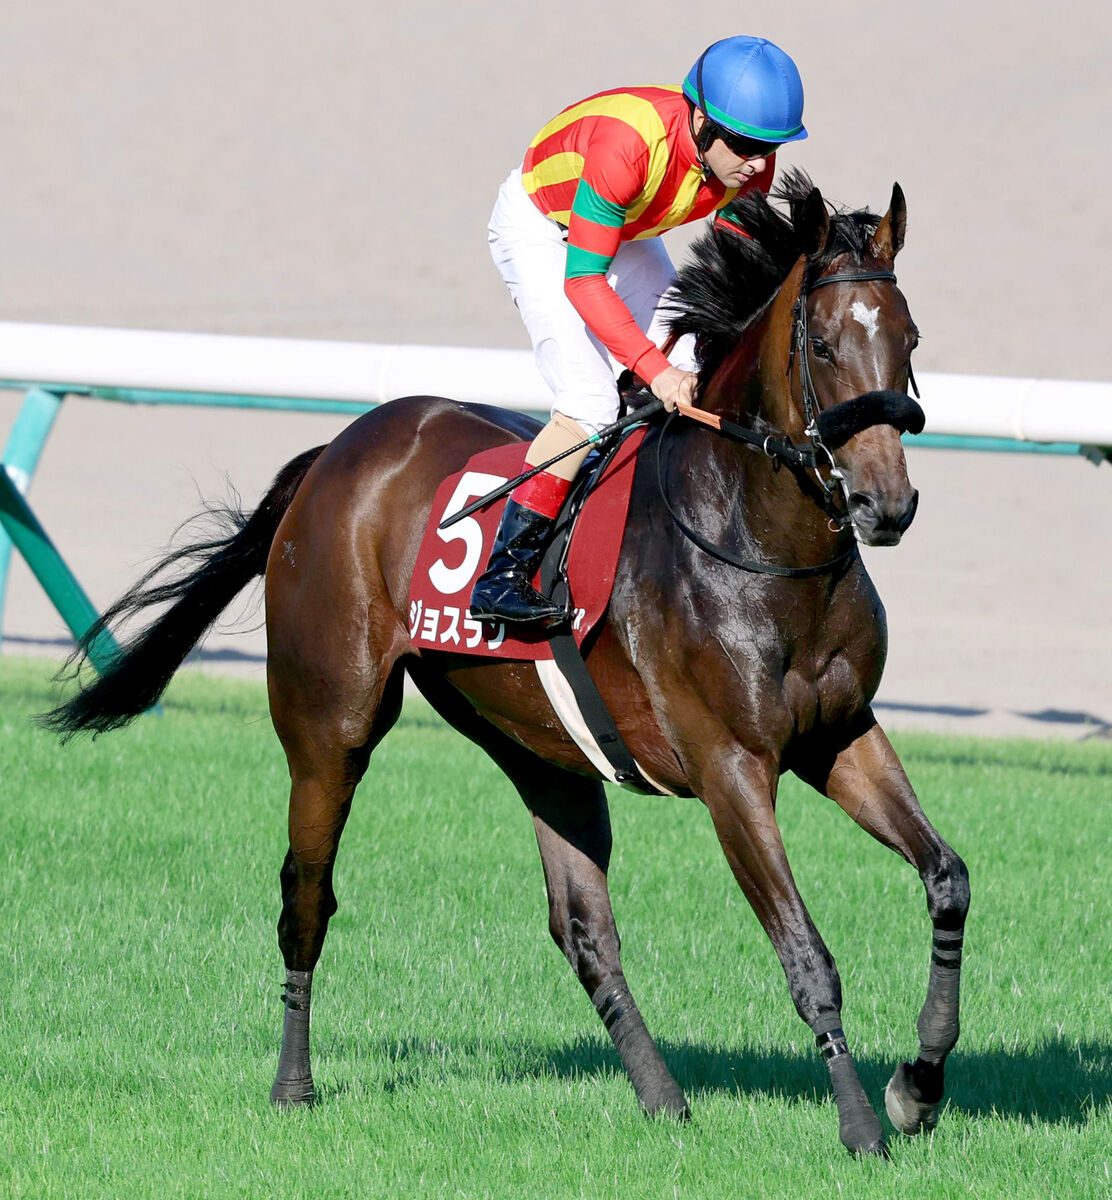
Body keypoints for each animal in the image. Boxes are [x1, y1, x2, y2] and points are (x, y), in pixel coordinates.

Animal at [44, 171, 969, 1159]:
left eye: (911, 338)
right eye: (825, 345)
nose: (886, 505)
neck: (756, 541)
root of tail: (337, 452)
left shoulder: (840, 735)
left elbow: (946, 878)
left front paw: (918, 1086)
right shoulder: (731, 767)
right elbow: (806, 952)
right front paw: (863, 1127)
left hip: (540, 744)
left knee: (582, 929)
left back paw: (664, 1101)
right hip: (331, 723)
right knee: (308, 894)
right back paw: (294, 1087)